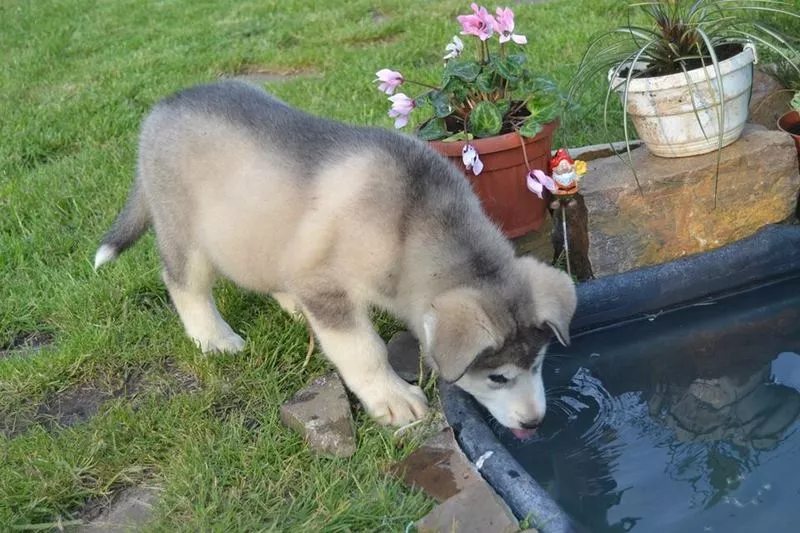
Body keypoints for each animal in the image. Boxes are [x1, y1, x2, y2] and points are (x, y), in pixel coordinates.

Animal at [95, 80, 576, 436]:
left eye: (539, 362)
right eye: (497, 377)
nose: (535, 422)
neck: (411, 223)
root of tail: (162, 108)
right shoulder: (326, 287)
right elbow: (363, 349)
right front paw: (393, 399)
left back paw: (291, 308)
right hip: (186, 232)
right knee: (183, 283)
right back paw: (213, 338)